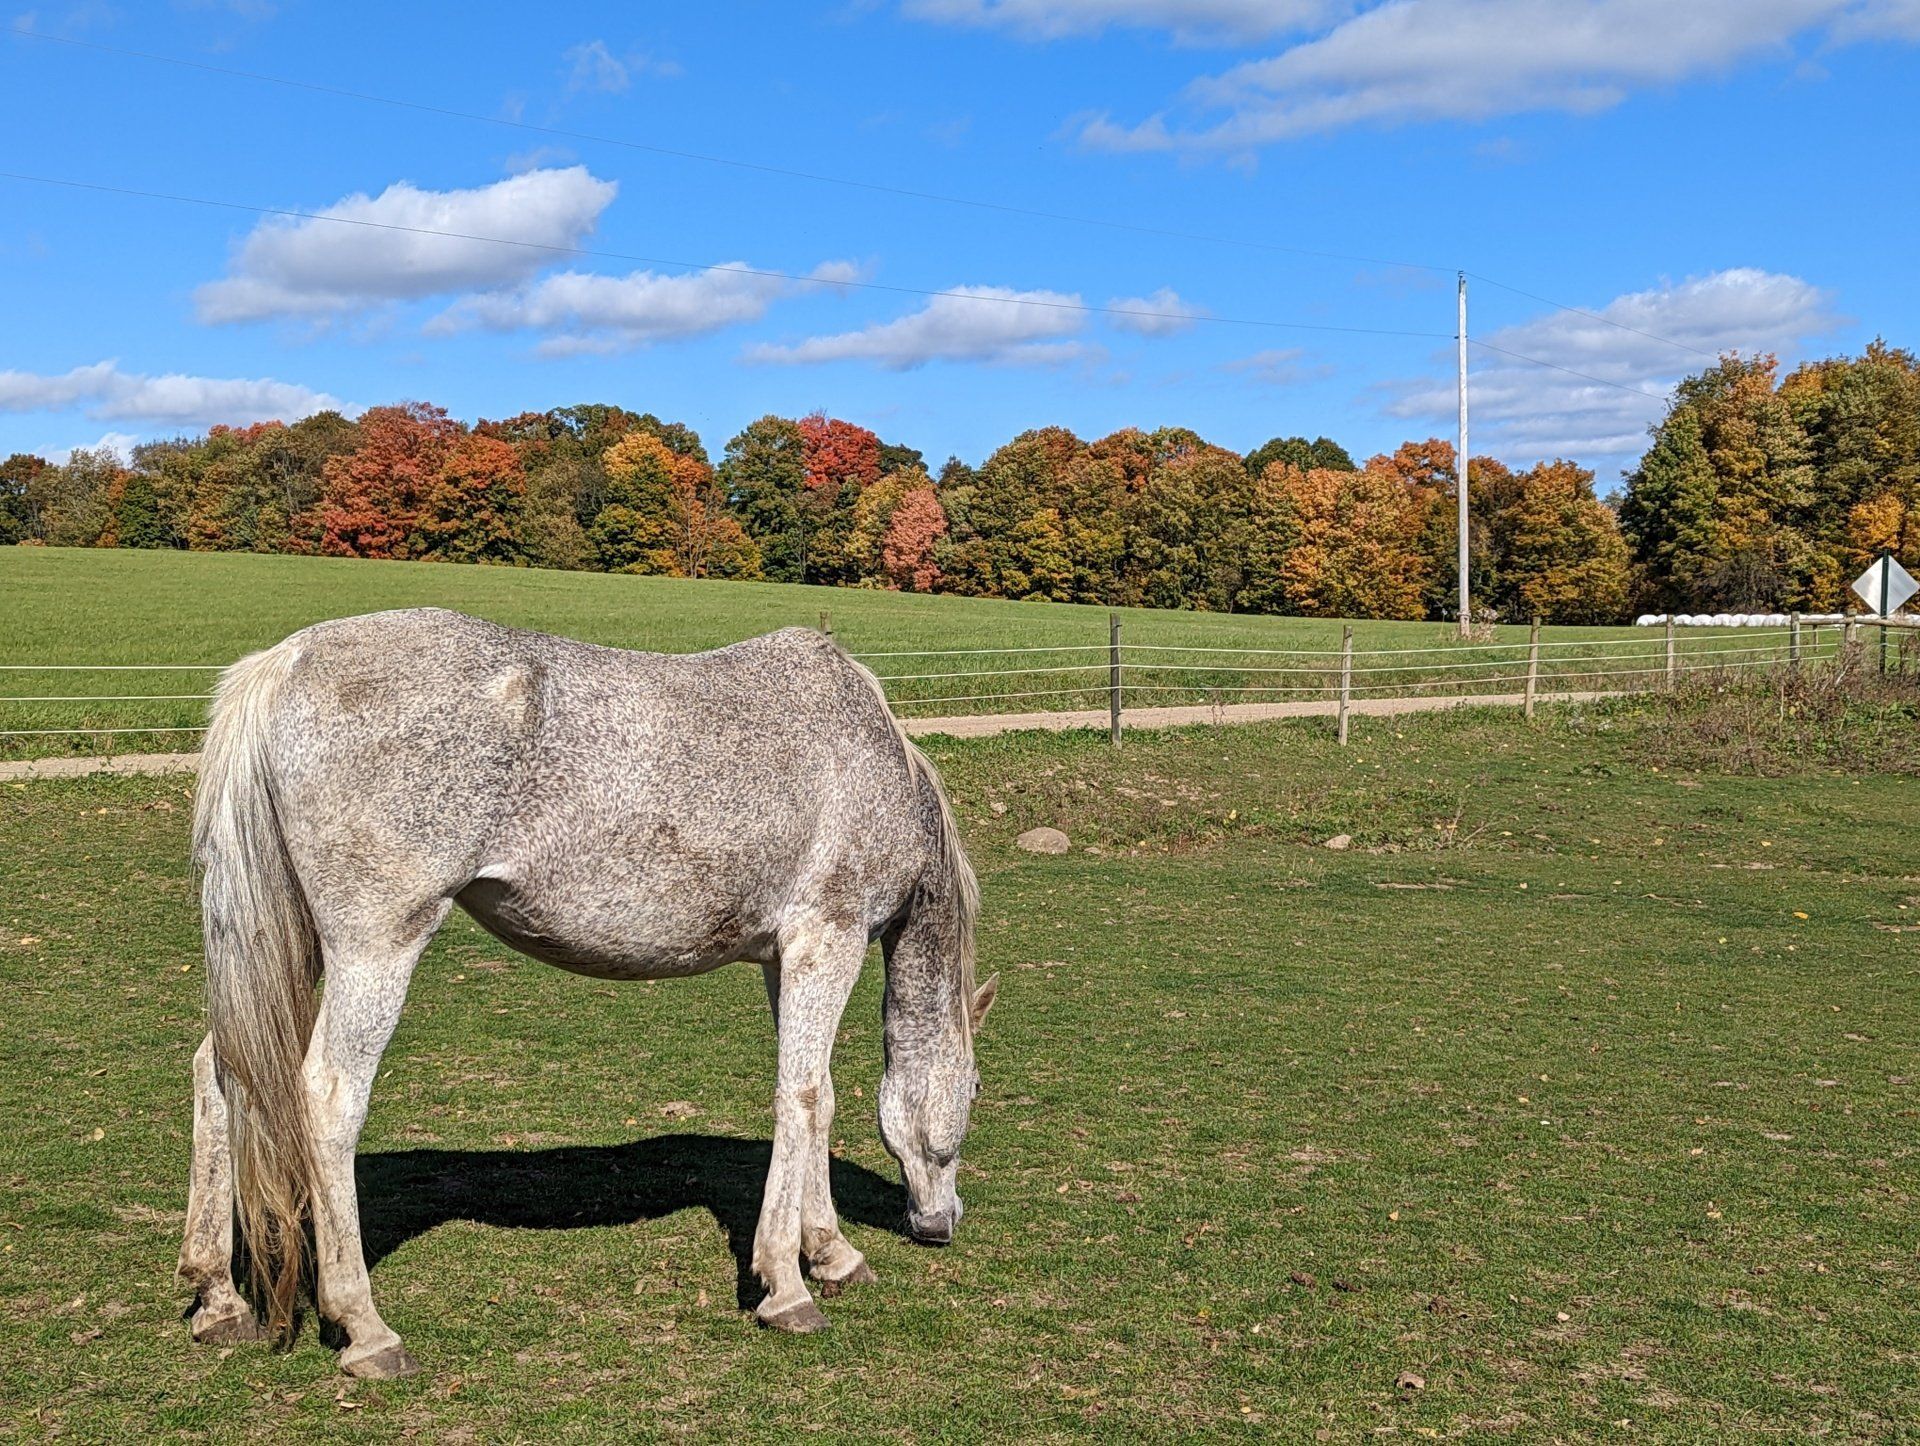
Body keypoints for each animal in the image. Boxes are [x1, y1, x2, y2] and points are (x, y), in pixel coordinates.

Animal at [175, 607, 996, 1378]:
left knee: (220, 1071)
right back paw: (365, 1329)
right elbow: (805, 1096)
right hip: (373, 949)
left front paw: (830, 1252)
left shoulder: (785, 956)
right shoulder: (829, 938)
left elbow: (812, 1092)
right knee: (327, 1099)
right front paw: (786, 1285)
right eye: (977, 1089)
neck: (869, 754)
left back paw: (218, 1297)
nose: (941, 1223)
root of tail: (285, 662)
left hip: (285, 942)